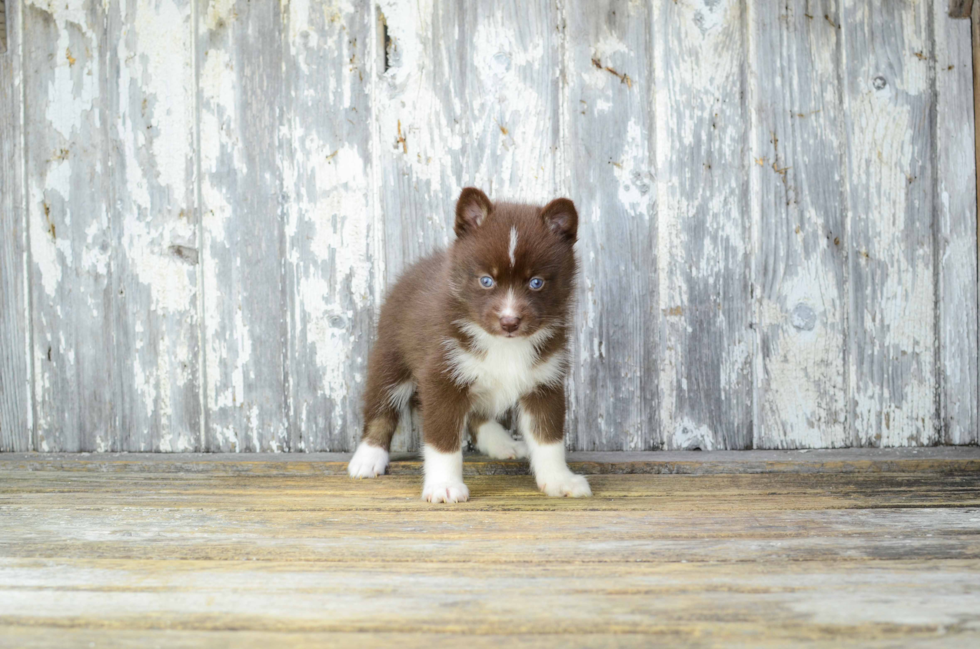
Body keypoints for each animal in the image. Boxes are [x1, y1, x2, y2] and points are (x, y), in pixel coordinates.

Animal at [346, 186, 588, 502]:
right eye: (486, 280)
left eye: (536, 282)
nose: (509, 322)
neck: (502, 344)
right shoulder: (442, 373)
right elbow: (442, 439)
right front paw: (443, 485)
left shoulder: (544, 379)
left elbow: (549, 437)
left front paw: (560, 480)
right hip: (391, 351)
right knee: (381, 404)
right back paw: (368, 456)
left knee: (477, 413)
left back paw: (501, 442)